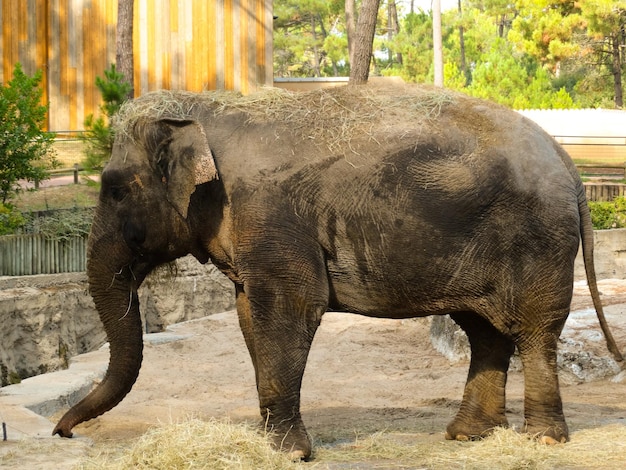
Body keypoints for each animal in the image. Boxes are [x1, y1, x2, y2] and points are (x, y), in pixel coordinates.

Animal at [52, 83, 620, 458]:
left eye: (114, 189)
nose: (62, 433)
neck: (207, 106)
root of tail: (567, 162)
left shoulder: (270, 213)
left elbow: (290, 306)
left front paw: (287, 454)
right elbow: (249, 314)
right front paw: (273, 446)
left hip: (539, 240)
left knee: (534, 330)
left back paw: (541, 440)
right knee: (484, 331)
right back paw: (466, 436)